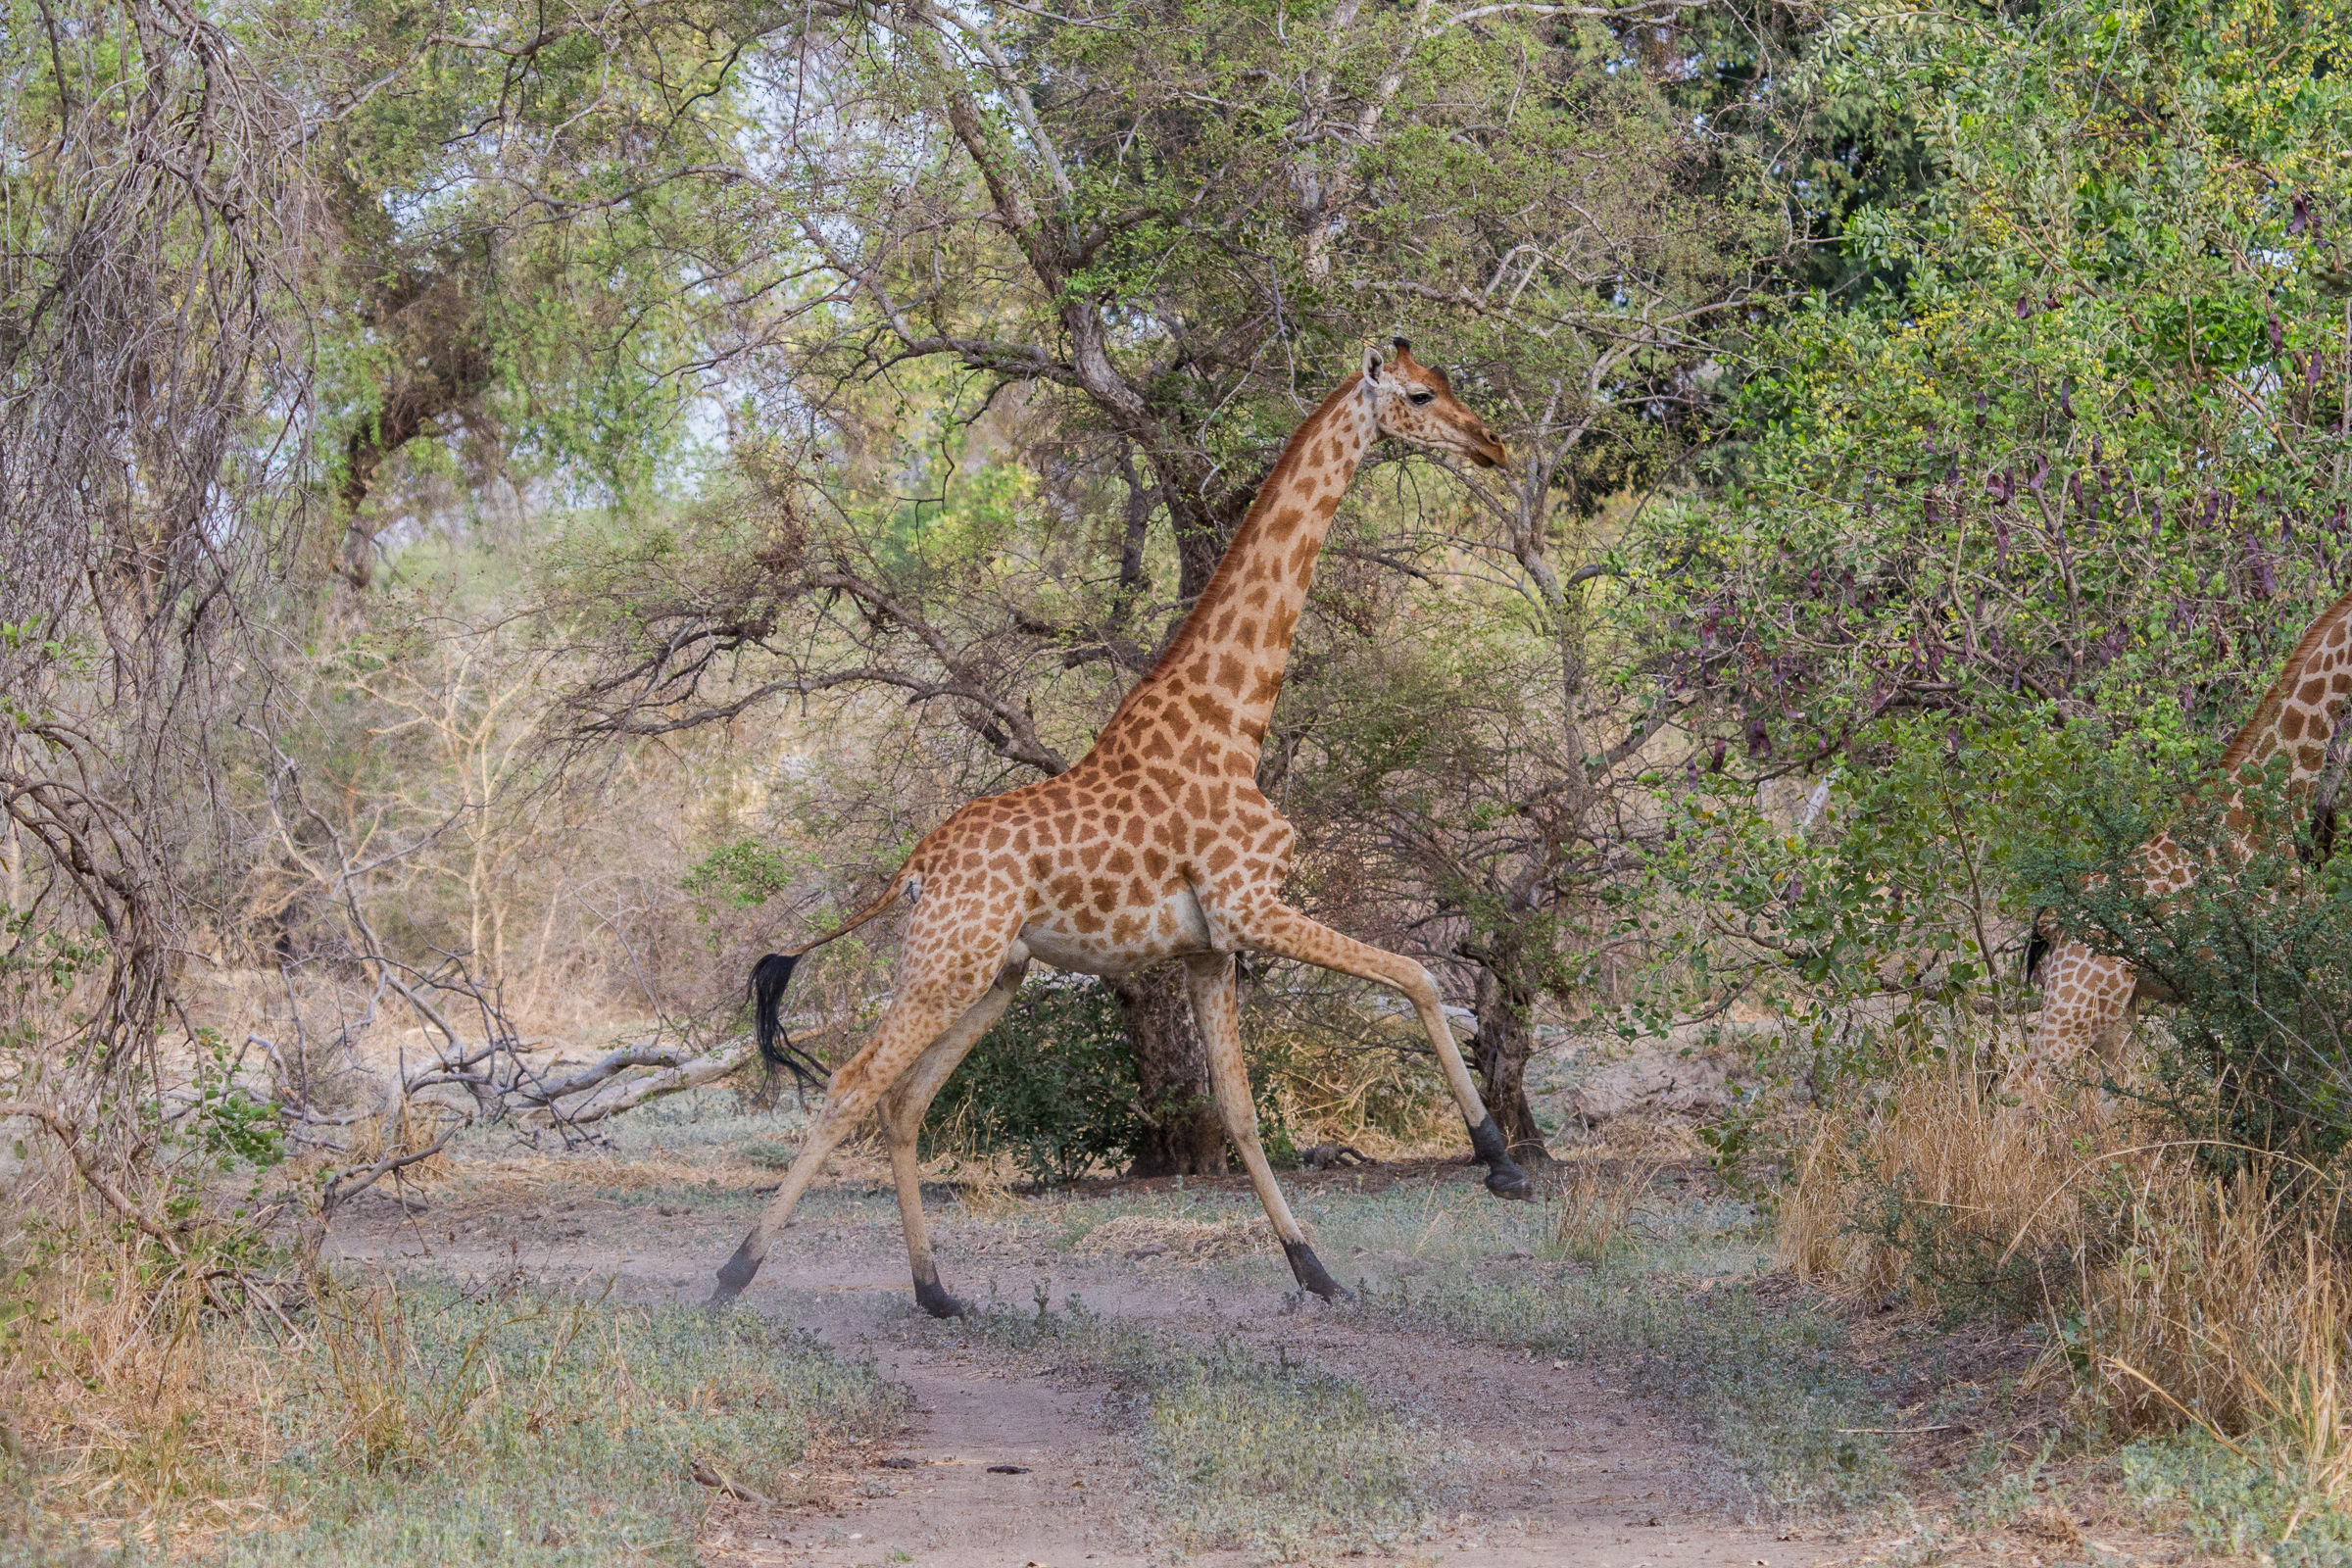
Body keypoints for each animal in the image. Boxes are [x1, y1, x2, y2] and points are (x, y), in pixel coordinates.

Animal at [709, 340, 1530, 1315]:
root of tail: (915, 865)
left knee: (905, 1102)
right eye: (1419, 396)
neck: (1235, 722)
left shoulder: (1213, 945)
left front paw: (1314, 1267)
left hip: (994, 976)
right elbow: (1416, 975)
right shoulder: (1252, 907)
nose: (1493, 445)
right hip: (948, 964)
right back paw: (731, 1275)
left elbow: (1241, 1113)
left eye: (1448, 384)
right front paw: (1501, 1164)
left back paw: (937, 1292)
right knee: (848, 1085)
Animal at [2019, 582, 2352, 1087]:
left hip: (2117, 1008)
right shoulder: (2285, 963)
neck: (2272, 800)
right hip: (2077, 1003)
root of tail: (2048, 923)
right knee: (2021, 1084)